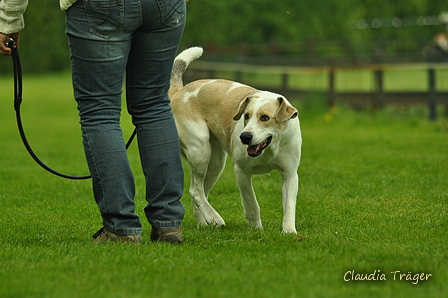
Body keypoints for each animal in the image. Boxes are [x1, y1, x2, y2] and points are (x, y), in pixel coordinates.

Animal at [170, 47, 302, 233]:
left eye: (265, 118)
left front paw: (289, 231)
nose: (244, 137)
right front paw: (256, 228)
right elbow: (251, 203)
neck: (270, 149)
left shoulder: (290, 174)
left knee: (199, 192)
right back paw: (215, 218)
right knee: (195, 191)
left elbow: (289, 205)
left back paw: (204, 223)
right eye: (246, 116)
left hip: (215, 163)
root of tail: (179, 92)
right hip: (200, 149)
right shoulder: (241, 171)